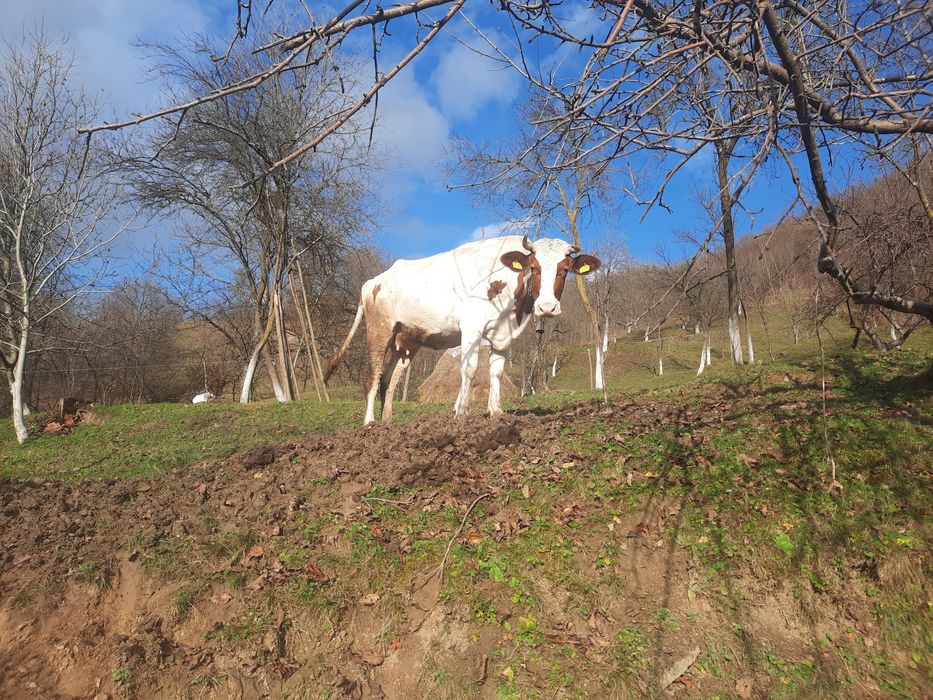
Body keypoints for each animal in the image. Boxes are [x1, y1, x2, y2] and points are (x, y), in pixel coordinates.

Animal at [325, 234, 601, 425]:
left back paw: (387, 422)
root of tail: (373, 281)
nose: (547, 307)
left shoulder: (502, 335)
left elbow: (496, 372)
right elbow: (469, 369)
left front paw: (496, 412)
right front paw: (462, 413)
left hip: (406, 342)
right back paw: (370, 423)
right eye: (534, 268)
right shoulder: (471, 327)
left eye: (564, 270)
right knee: (372, 376)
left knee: (389, 379)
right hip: (379, 330)